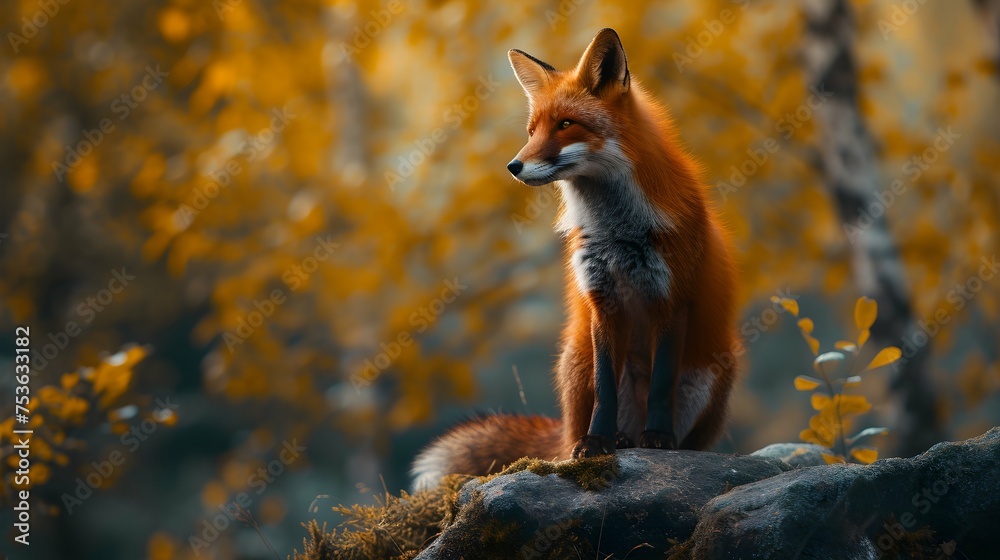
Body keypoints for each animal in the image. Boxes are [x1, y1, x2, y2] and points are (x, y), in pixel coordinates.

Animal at [411, 28, 739, 491]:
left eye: (566, 124)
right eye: (532, 130)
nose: (513, 166)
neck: (618, 232)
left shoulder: (671, 299)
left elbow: (661, 385)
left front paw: (659, 439)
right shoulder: (603, 300)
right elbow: (605, 390)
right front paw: (597, 444)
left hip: (711, 370)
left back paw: (654, 440)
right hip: (577, 358)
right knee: (578, 432)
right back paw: (612, 440)